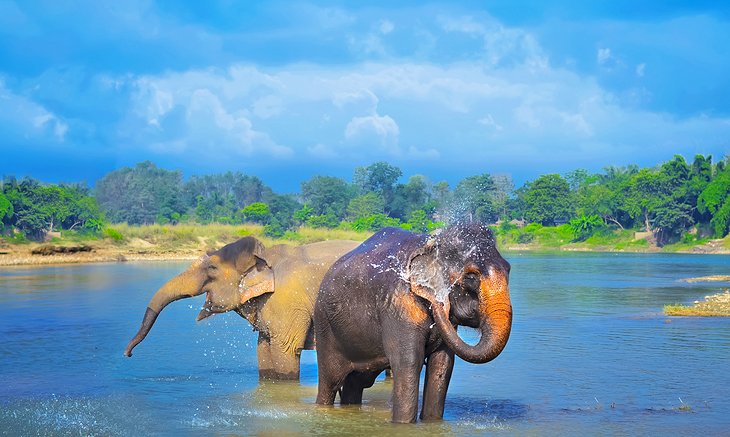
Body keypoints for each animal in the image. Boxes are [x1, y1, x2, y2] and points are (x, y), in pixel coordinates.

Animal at [125, 233, 358, 380]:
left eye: (212, 268)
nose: (128, 355)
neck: (265, 257)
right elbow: (263, 348)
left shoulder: (288, 301)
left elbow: (286, 349)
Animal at [314, 223, 512, 420]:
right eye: (471, 277)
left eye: (508, 269)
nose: (440, 302)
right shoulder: (400, 307)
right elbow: (408, 362)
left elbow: (441, 365)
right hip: (325, 328)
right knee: (330, 383)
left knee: (356, 382)